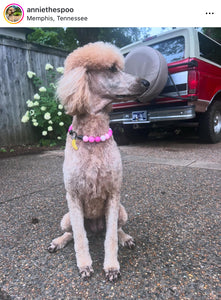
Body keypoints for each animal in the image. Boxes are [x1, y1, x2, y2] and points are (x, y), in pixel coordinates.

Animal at [47, 42, 149, 282]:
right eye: (111, 69)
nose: (146, 82)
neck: (93, 137)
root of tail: (94, 228)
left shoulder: (113, 194)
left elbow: (110, 236)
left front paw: (111, 267)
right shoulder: (73, 196)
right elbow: (79, 237)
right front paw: (84, 265)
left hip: (122, 211)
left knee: (114, 230)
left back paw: (126, 238)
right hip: (66, 218)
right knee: (71, 232)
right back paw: (58, 242)